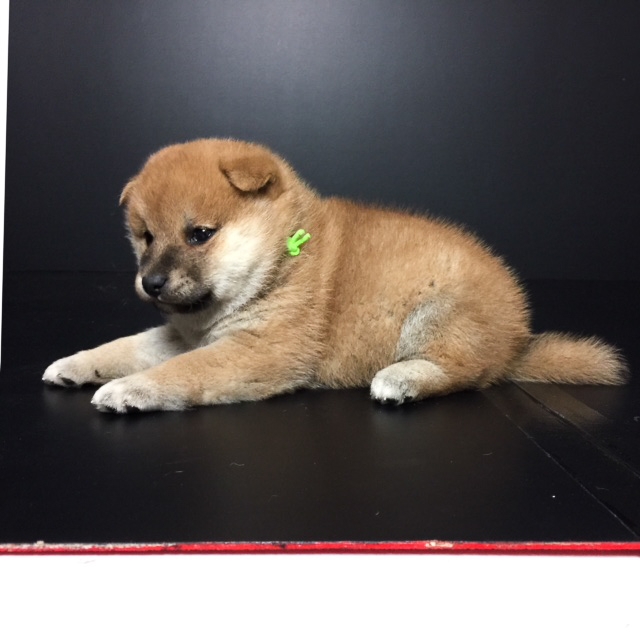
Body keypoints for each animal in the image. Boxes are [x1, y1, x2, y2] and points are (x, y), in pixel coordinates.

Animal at [42, 138, 628, 412]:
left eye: (199, 235)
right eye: (145, 237)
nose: (152, 283)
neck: (281, 260)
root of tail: (518, 339)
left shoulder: (264, 350)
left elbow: (182, 372)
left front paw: (129, 389)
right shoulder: (185, 334)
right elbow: (126, 345)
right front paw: (78, 363)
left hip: (440, 313)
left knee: (468, 373)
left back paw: (402, 378)